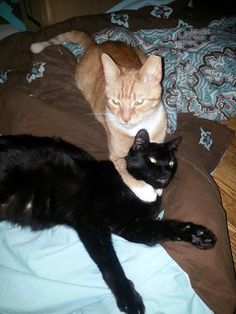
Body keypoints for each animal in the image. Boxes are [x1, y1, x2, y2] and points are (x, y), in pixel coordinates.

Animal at [0, 130, 217, 314]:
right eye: (152, 159)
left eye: (171, 162)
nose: (165, 173)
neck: (137, 189)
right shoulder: (91, 223)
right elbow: (110, 263)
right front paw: (129, 299)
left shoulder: (132, 227)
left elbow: (166, 226)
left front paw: (199, 234)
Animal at [30, 31, 168, 201]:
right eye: (115, 102)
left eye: (139, 102)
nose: (125, 119)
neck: (138, 130)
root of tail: (96, 45)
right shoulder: (116, 155)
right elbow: (124, 168)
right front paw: (145, 190)